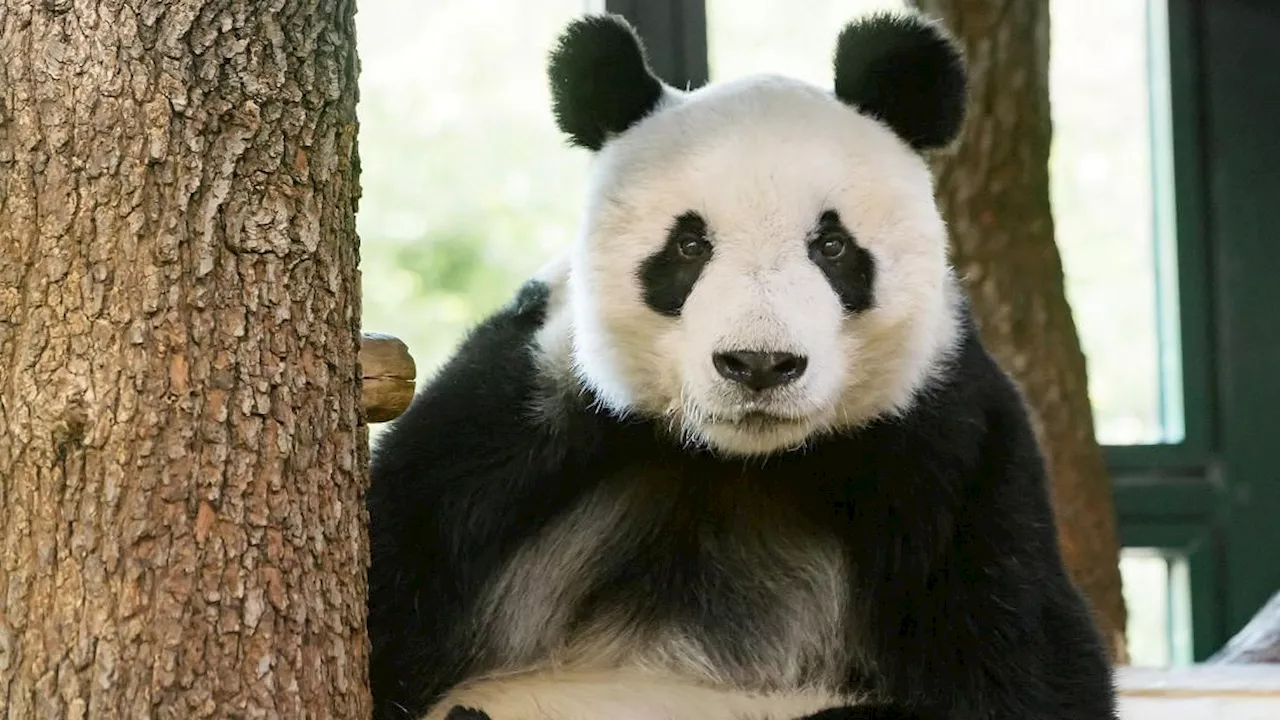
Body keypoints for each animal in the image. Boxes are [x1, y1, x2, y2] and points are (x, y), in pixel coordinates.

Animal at [368, 9, 1121, 717]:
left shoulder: (948, 455)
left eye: (832, 246)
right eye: (689, 244)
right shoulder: (512, 432)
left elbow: (1027, 665)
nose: (759, 363)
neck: (735, 462)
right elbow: (401, 554)